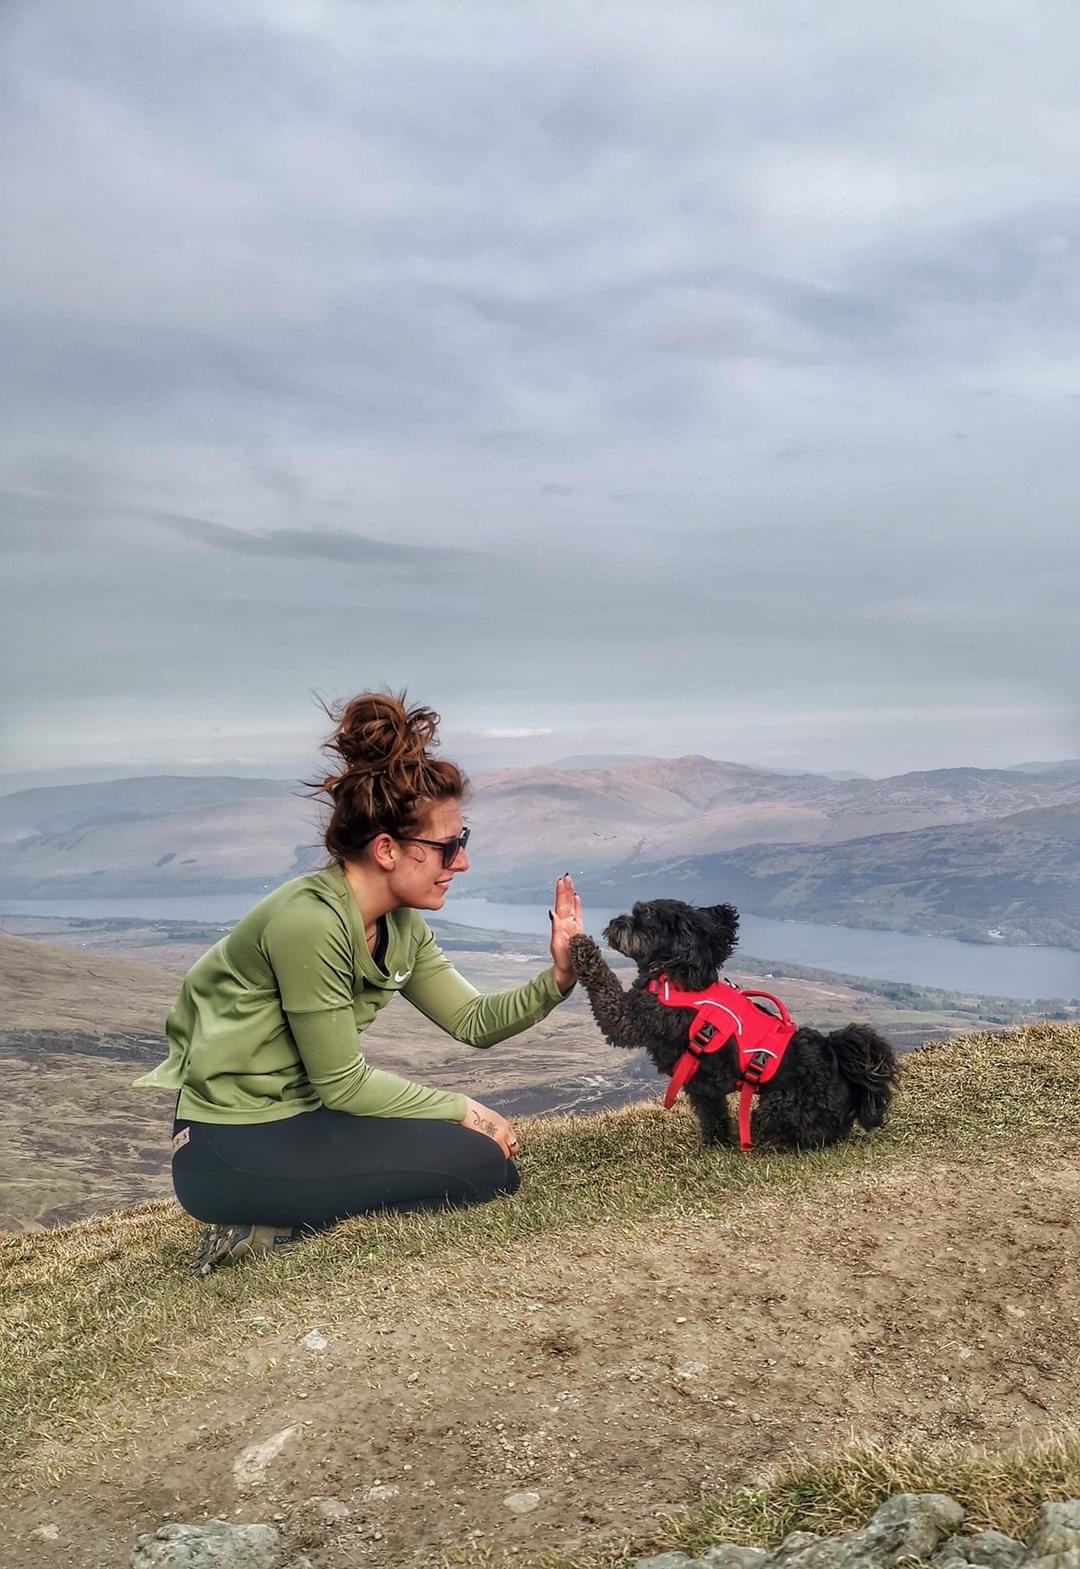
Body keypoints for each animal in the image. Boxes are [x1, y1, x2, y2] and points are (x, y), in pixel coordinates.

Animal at [568, 903, 897, 1148]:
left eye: (643, 916)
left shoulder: (630, 1018)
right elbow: (712, 1115)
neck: (676, 972)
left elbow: (606, 987)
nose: (614, 922)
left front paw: (582, 948)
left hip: (777, 1108)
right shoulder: (702, 1085)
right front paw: (715, 1143)